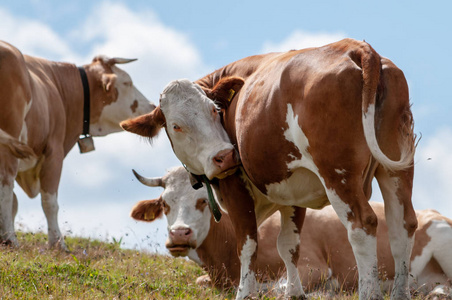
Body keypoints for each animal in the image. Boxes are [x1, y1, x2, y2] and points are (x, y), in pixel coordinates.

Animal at [0, 40, 154, 251]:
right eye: (127, 83)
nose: (153, 107)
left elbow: (16, 203)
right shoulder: (54, 150)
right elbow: (49, 202)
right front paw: (58, 243)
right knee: (6, 185)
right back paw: (11, 239)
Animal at [121, 39, 416, 300]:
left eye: (215, 111)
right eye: (176, 126)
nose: (225, 156)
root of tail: (356, 47)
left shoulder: (235, 186)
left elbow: (247, 244)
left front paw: (245, 294)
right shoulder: (294, 192)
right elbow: (288, 246)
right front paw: (294, 293)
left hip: (337, 174)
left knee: (362, 225)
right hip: (396, 169)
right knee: (403, 226)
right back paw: (400, 293)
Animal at [130, 166, 452, 298]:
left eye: (203, 202)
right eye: (165, 203)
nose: (179, 235)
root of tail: (433, 212)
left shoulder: (314, 265)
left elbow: (281, 287)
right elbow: (200, 282)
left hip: (441, 237)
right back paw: (435, 292)